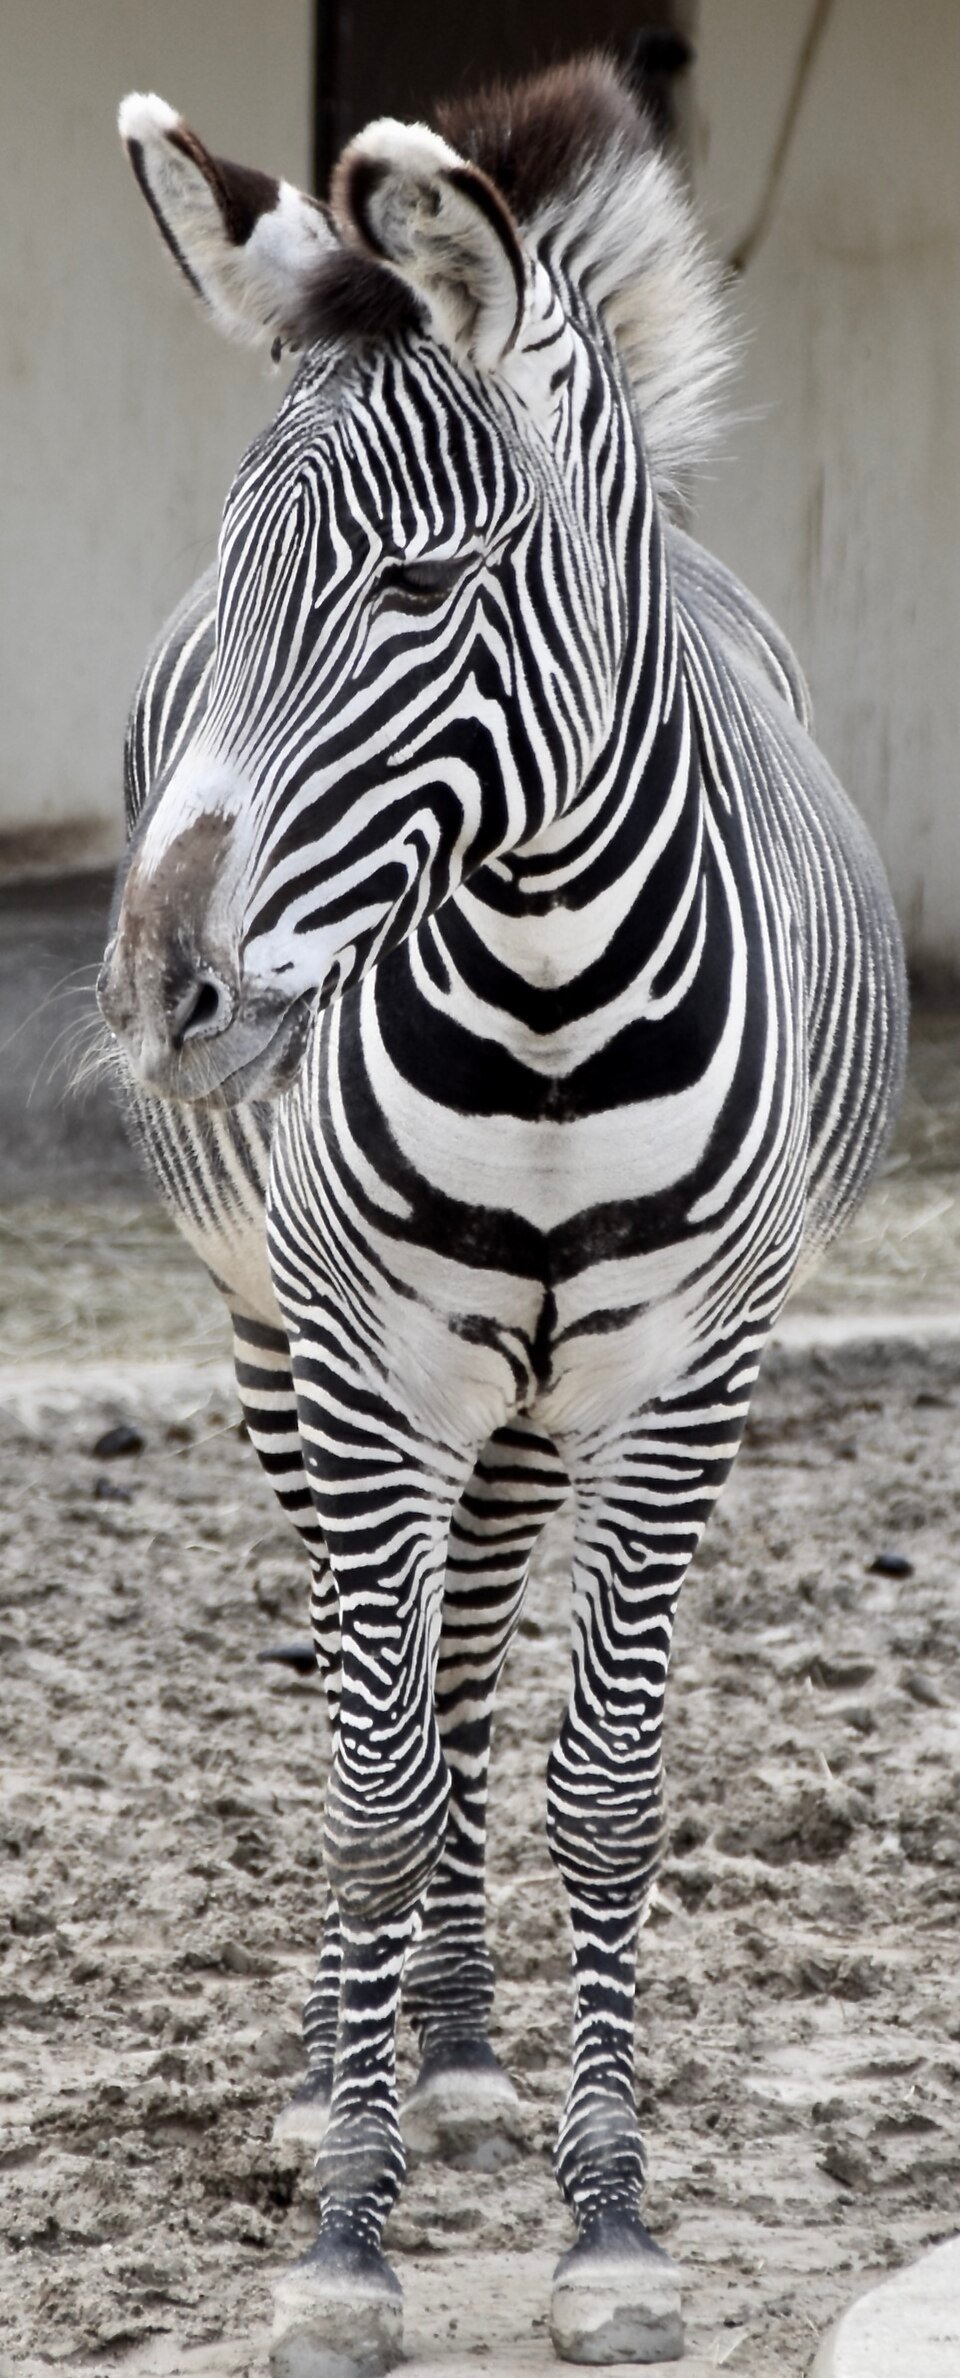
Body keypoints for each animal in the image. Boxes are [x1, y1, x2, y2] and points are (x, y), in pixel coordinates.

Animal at [98, 56, 905, 2375]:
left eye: (421, 586)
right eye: (233, 582)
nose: (162, 994)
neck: (545, 996)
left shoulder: (685, 1383)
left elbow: (601, 1783)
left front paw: (608, 2225)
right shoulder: (363, 1370)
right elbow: (370, 1784)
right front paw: (343, 2241)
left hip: (533, 1405)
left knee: (460, 1656)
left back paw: (453, 2050)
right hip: (304, 1352)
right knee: (378, 1693)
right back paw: (343, 2068)